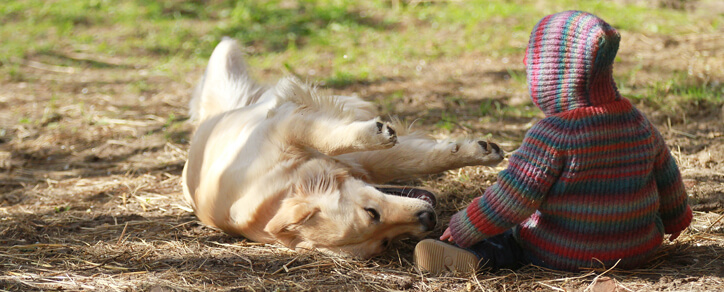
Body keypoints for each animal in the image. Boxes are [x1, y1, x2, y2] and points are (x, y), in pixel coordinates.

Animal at [181, 38, 504, 258]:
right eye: (383, 241)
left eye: (372, 212)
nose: (430, 219)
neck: (278, 183)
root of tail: (206, 123)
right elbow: (411, 158)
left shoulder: (285, 126)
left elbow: (412, 159)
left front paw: (478, 151)